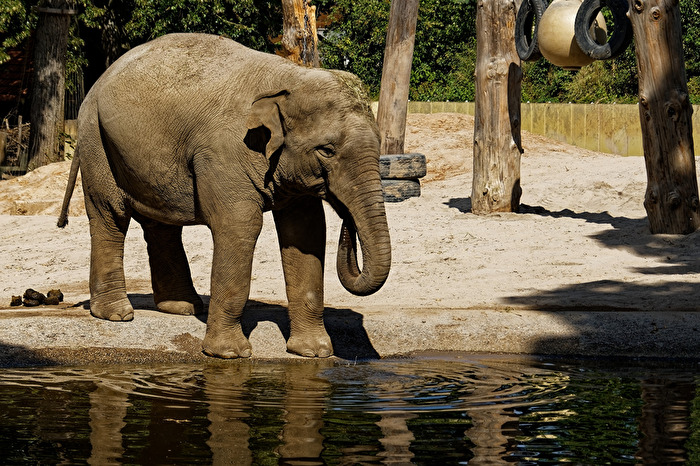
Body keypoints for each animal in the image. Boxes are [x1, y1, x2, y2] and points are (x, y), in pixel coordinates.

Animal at [57, 33, 391, 359]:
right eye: (327, 150)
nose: (347, 218)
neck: (288, 78)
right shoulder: (224, 152)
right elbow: (240, 226)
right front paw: (230, 354)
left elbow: (306, 232)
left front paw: (314, 353)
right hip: (96, 141)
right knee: (110, 215)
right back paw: (117, 314)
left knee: (161, 225)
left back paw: (182, 307)